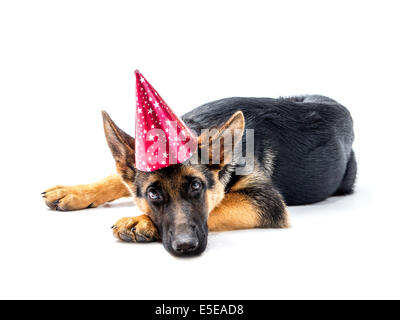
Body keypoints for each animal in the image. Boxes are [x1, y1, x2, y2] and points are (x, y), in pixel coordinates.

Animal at [43, 95, 356, 258]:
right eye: (153, 193)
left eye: (196, 186)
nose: (186, 248)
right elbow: (116, 179)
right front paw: (75, 191)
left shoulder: (264, 201)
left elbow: (214, 209)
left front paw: (142, 221)